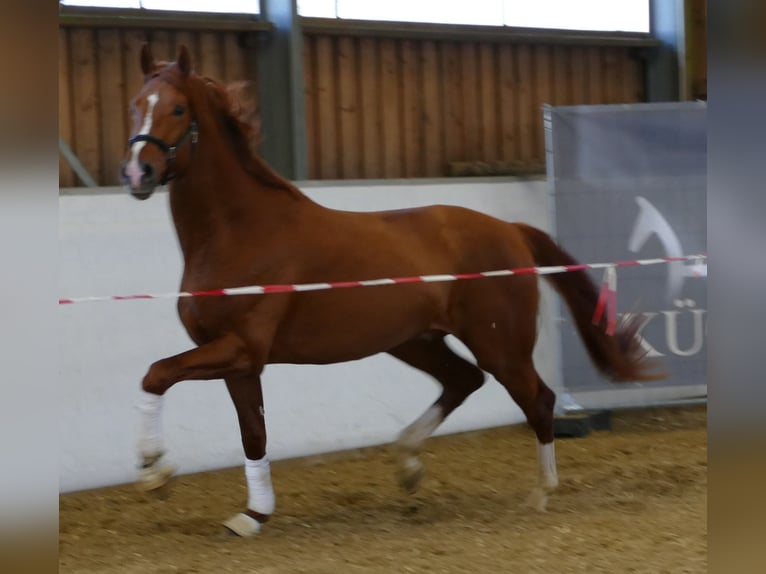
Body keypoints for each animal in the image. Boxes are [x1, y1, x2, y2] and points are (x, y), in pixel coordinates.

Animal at [123, 46, 664, 540]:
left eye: (177, 109)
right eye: (135, 103)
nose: (137, 173)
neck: (240, 232)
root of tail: (509, 229)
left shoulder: (241, 348)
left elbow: (156, 374)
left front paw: (154, 471)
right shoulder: (240, 361)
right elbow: (252, 433)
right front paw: (252, 514)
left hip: (500, 344)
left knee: (538, 398)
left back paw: (540, 491)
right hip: (414, 340)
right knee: (463, 380)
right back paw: (407, 464)